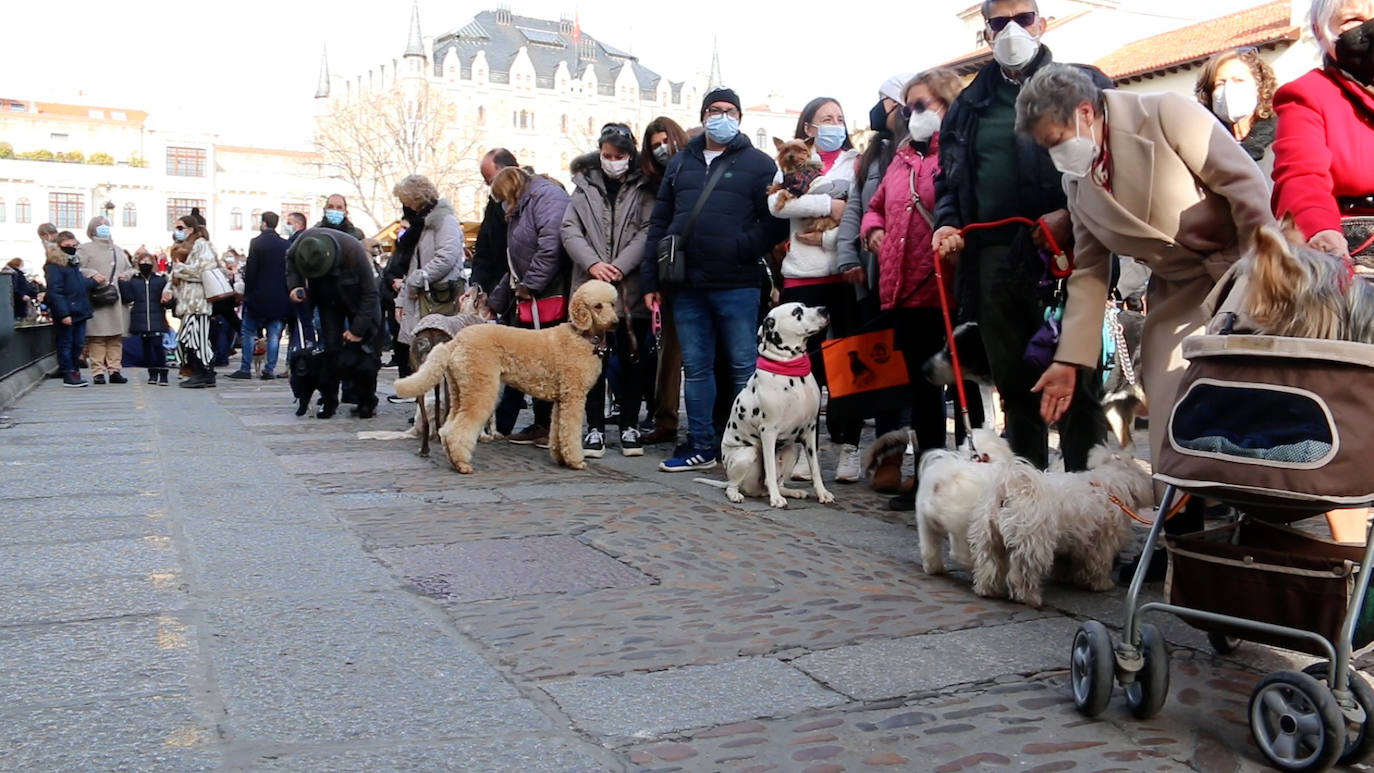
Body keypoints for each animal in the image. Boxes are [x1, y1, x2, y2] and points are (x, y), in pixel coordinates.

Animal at [703, 302, 829, 508]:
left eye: (804, 306)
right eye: (797, 312)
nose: (824, 310)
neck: (791, 369)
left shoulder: (809, 430)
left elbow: (815, 468)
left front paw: (823, 493)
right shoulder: (769, 432)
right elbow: (769, 469)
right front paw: (776, 499)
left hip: (791, 450)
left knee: (779, 481)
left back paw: (790, 492)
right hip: (747, 453)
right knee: (733, 486)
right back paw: (738, 494)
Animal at [917, 428, 1016, 573]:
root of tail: (944, 480)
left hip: (925, 522)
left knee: (929, 548)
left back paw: (934, 568)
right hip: (963, 527)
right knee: (959, 553)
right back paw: (971, 565)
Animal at [972, 447, 1154, 612]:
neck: (1108, 487)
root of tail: (1011, 490)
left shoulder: (1073, 541)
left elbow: (1065, 561)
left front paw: (1064, 577)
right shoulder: (1102, 543)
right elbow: (1098, 565)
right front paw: (1101, 584)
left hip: (989, 539)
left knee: (989, 565)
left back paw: (988, 590)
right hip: (1032, 545)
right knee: (1023, 574)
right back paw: (1030, 598)